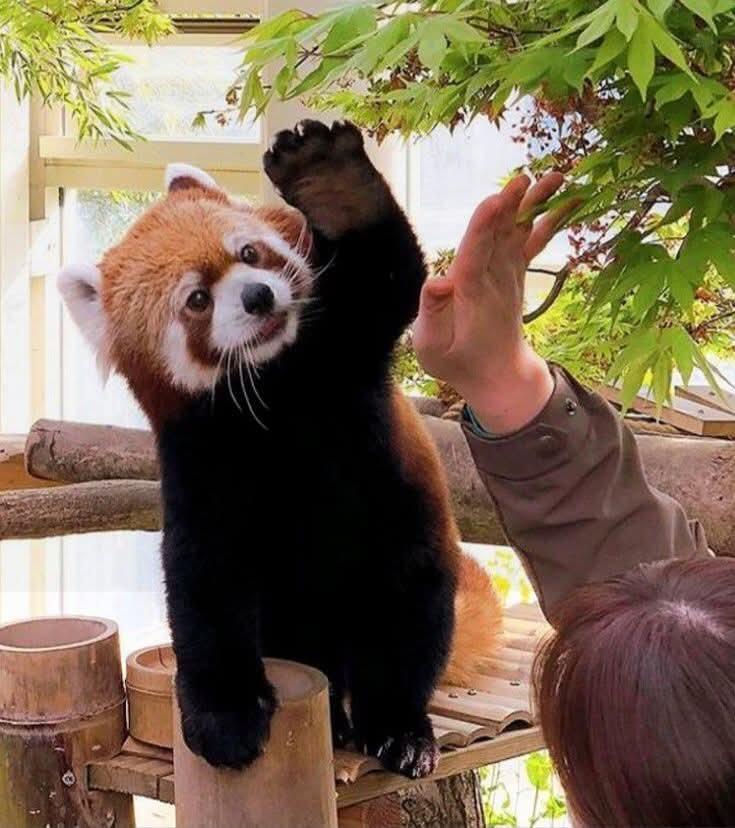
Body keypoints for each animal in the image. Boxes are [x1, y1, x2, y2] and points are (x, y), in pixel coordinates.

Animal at [59, 120, 502, 778]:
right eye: (196, 299)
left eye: (249, 254)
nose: (259, 298)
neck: (274, 390)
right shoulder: (201, 464)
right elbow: (204, 589)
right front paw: (225, 721)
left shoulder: (343, 355)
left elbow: (390, 277)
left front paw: (333, 184)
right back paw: (339, 721)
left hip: (402, 542)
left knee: (406, 627)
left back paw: (396, 727)